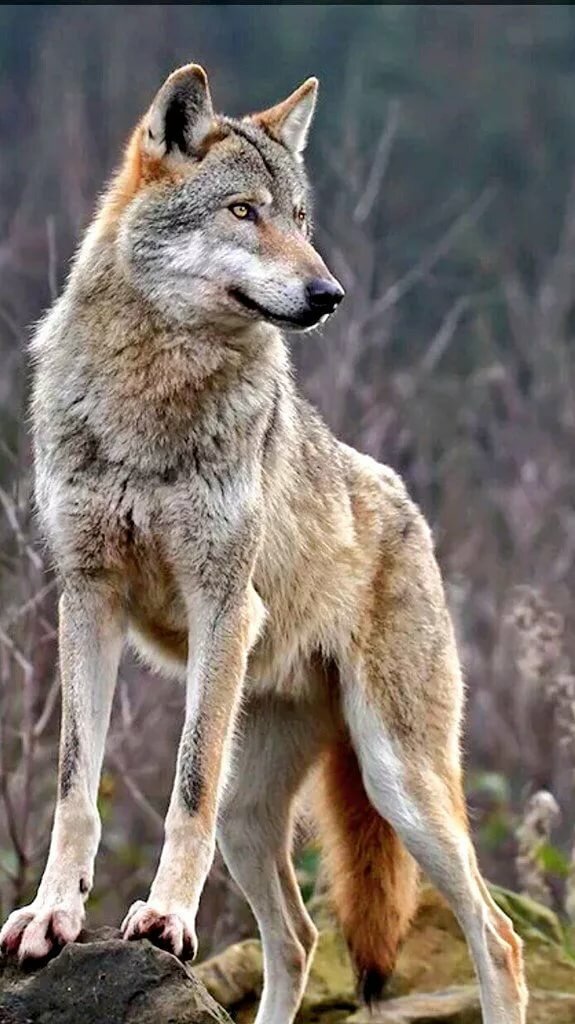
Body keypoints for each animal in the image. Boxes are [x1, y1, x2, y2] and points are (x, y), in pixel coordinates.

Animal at [0, 65, 526, 1024]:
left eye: (302, 219)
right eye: (243, 212)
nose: (329, 295)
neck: (152, 393)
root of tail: (406, 504)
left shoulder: (221, 603)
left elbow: (185, 789)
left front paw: (164, 917)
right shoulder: (86, 598)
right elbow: (73, 791)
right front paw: (51, 917)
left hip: (400, 783)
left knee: (494, 935)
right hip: (262, 815)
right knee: (298, 936)